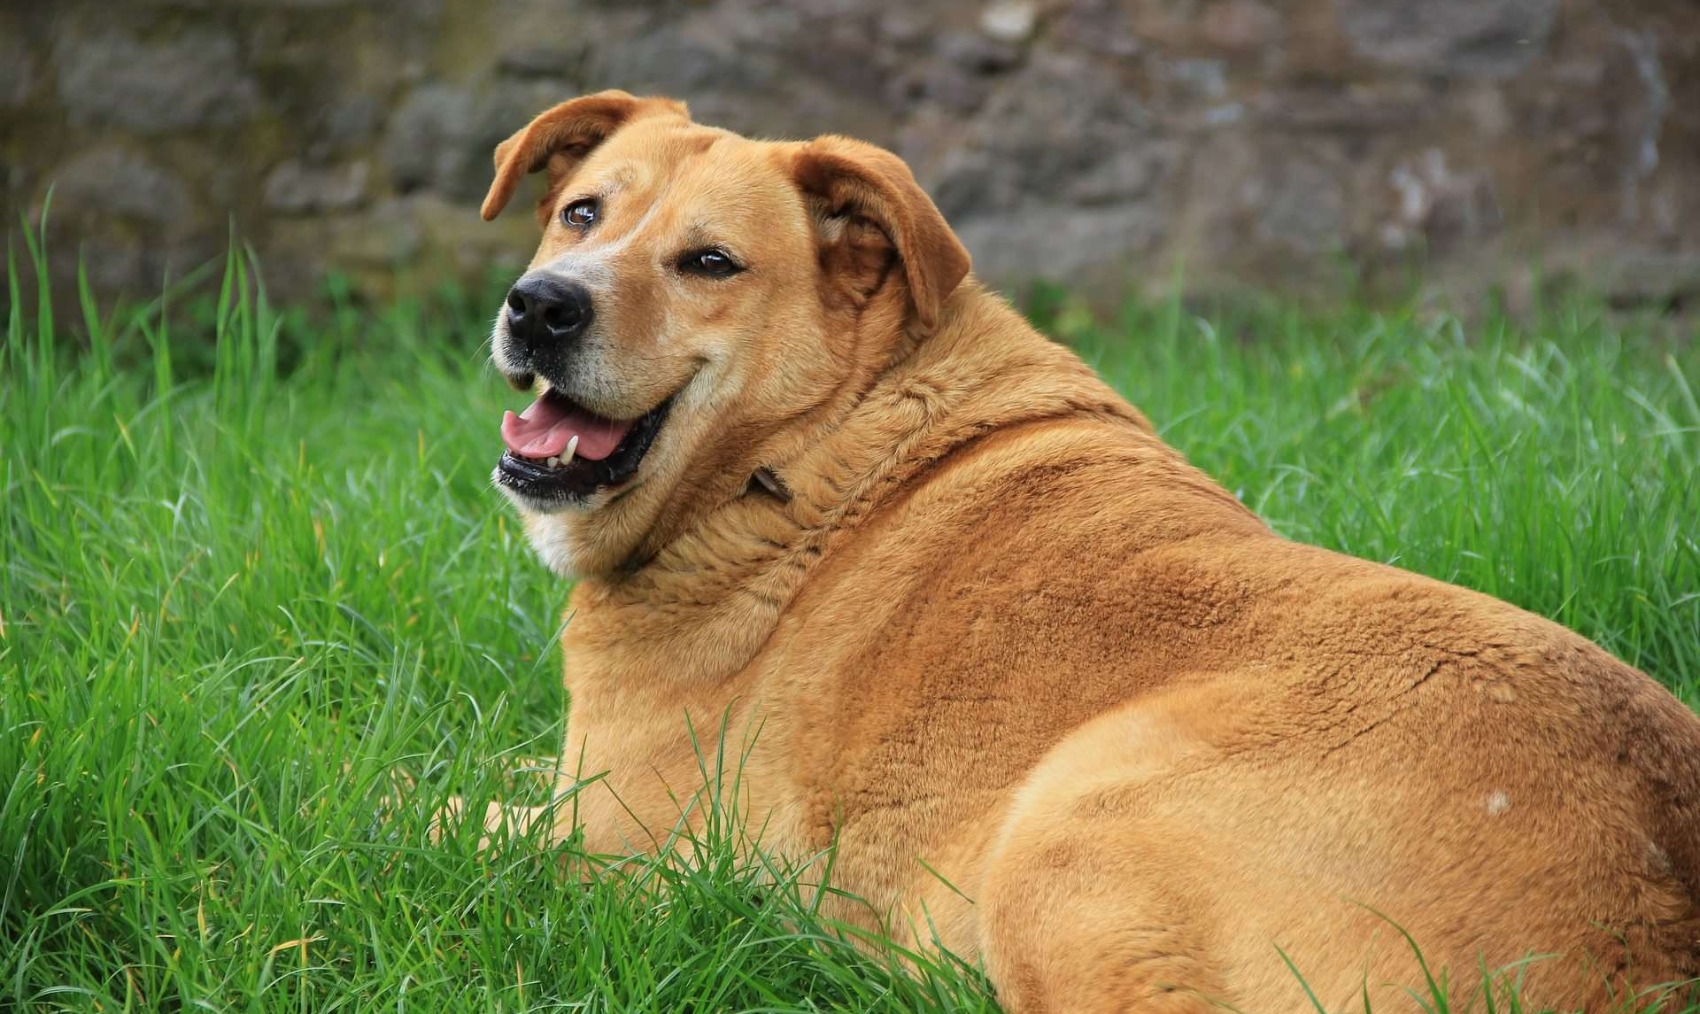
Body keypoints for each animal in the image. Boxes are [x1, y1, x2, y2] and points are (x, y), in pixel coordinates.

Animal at [465, 91, 1700, 1007]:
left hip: (1064, 834)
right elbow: (463, 769)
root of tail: (1657, 931)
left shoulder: (607, 841)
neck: (809, 446)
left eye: (711, 263)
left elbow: (435, 813)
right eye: (580, 213)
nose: (539, 306)